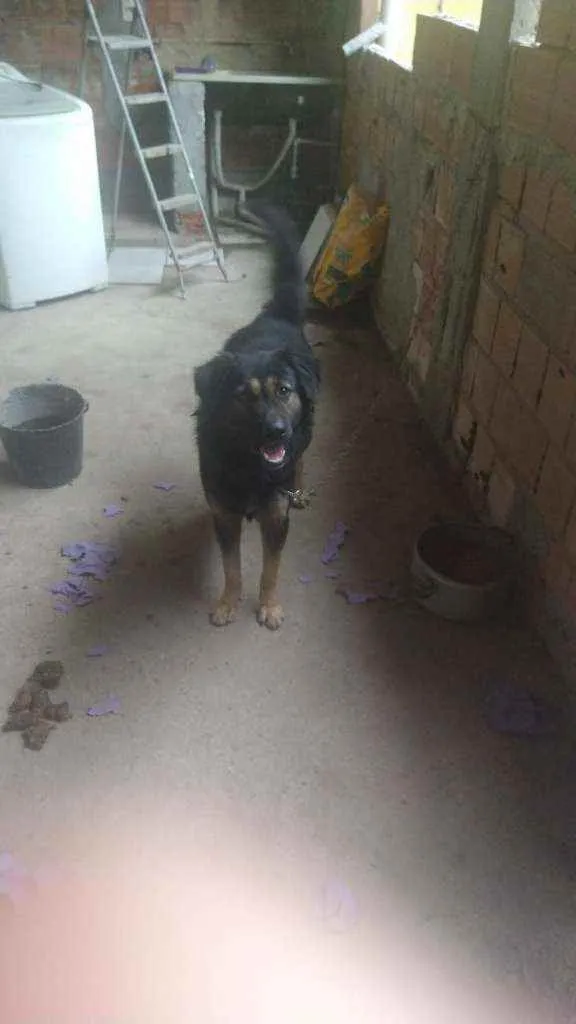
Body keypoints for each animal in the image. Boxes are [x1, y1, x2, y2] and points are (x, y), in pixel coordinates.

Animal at [192, 203, 317, 626]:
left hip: (305, 433)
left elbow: (271, 568)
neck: (249, 464)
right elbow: (232, 567)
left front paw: (269, 605)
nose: (276, 432)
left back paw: (298, 485)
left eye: (284, 391)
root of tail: (274, 316)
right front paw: (228, 602)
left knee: (302, 457)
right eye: (244, 397)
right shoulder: (225, 515)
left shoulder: (276, 518)